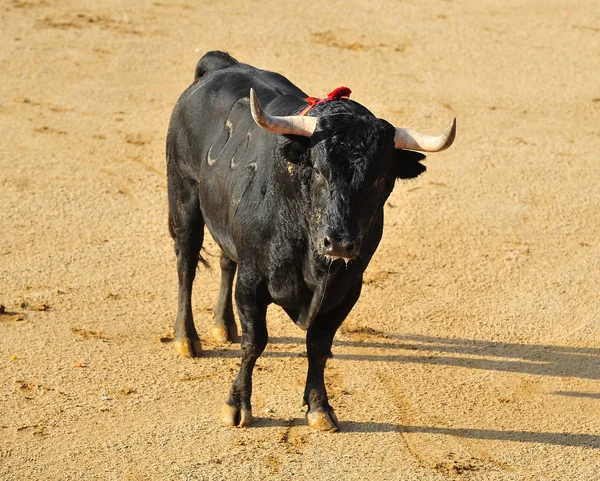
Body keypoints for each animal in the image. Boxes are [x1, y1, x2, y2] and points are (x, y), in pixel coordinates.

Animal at [165, 50, 454, 430]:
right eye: (317, 169)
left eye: (380, 178)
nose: (339, 244)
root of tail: (219, 64)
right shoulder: (252, 282)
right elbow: (255, 342)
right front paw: (236, 404)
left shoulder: (347, 289)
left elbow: (318, 345)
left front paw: (319, 406)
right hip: (183, 196)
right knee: (186, 264)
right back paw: (187, 339)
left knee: (226, 260)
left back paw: (223, 326)